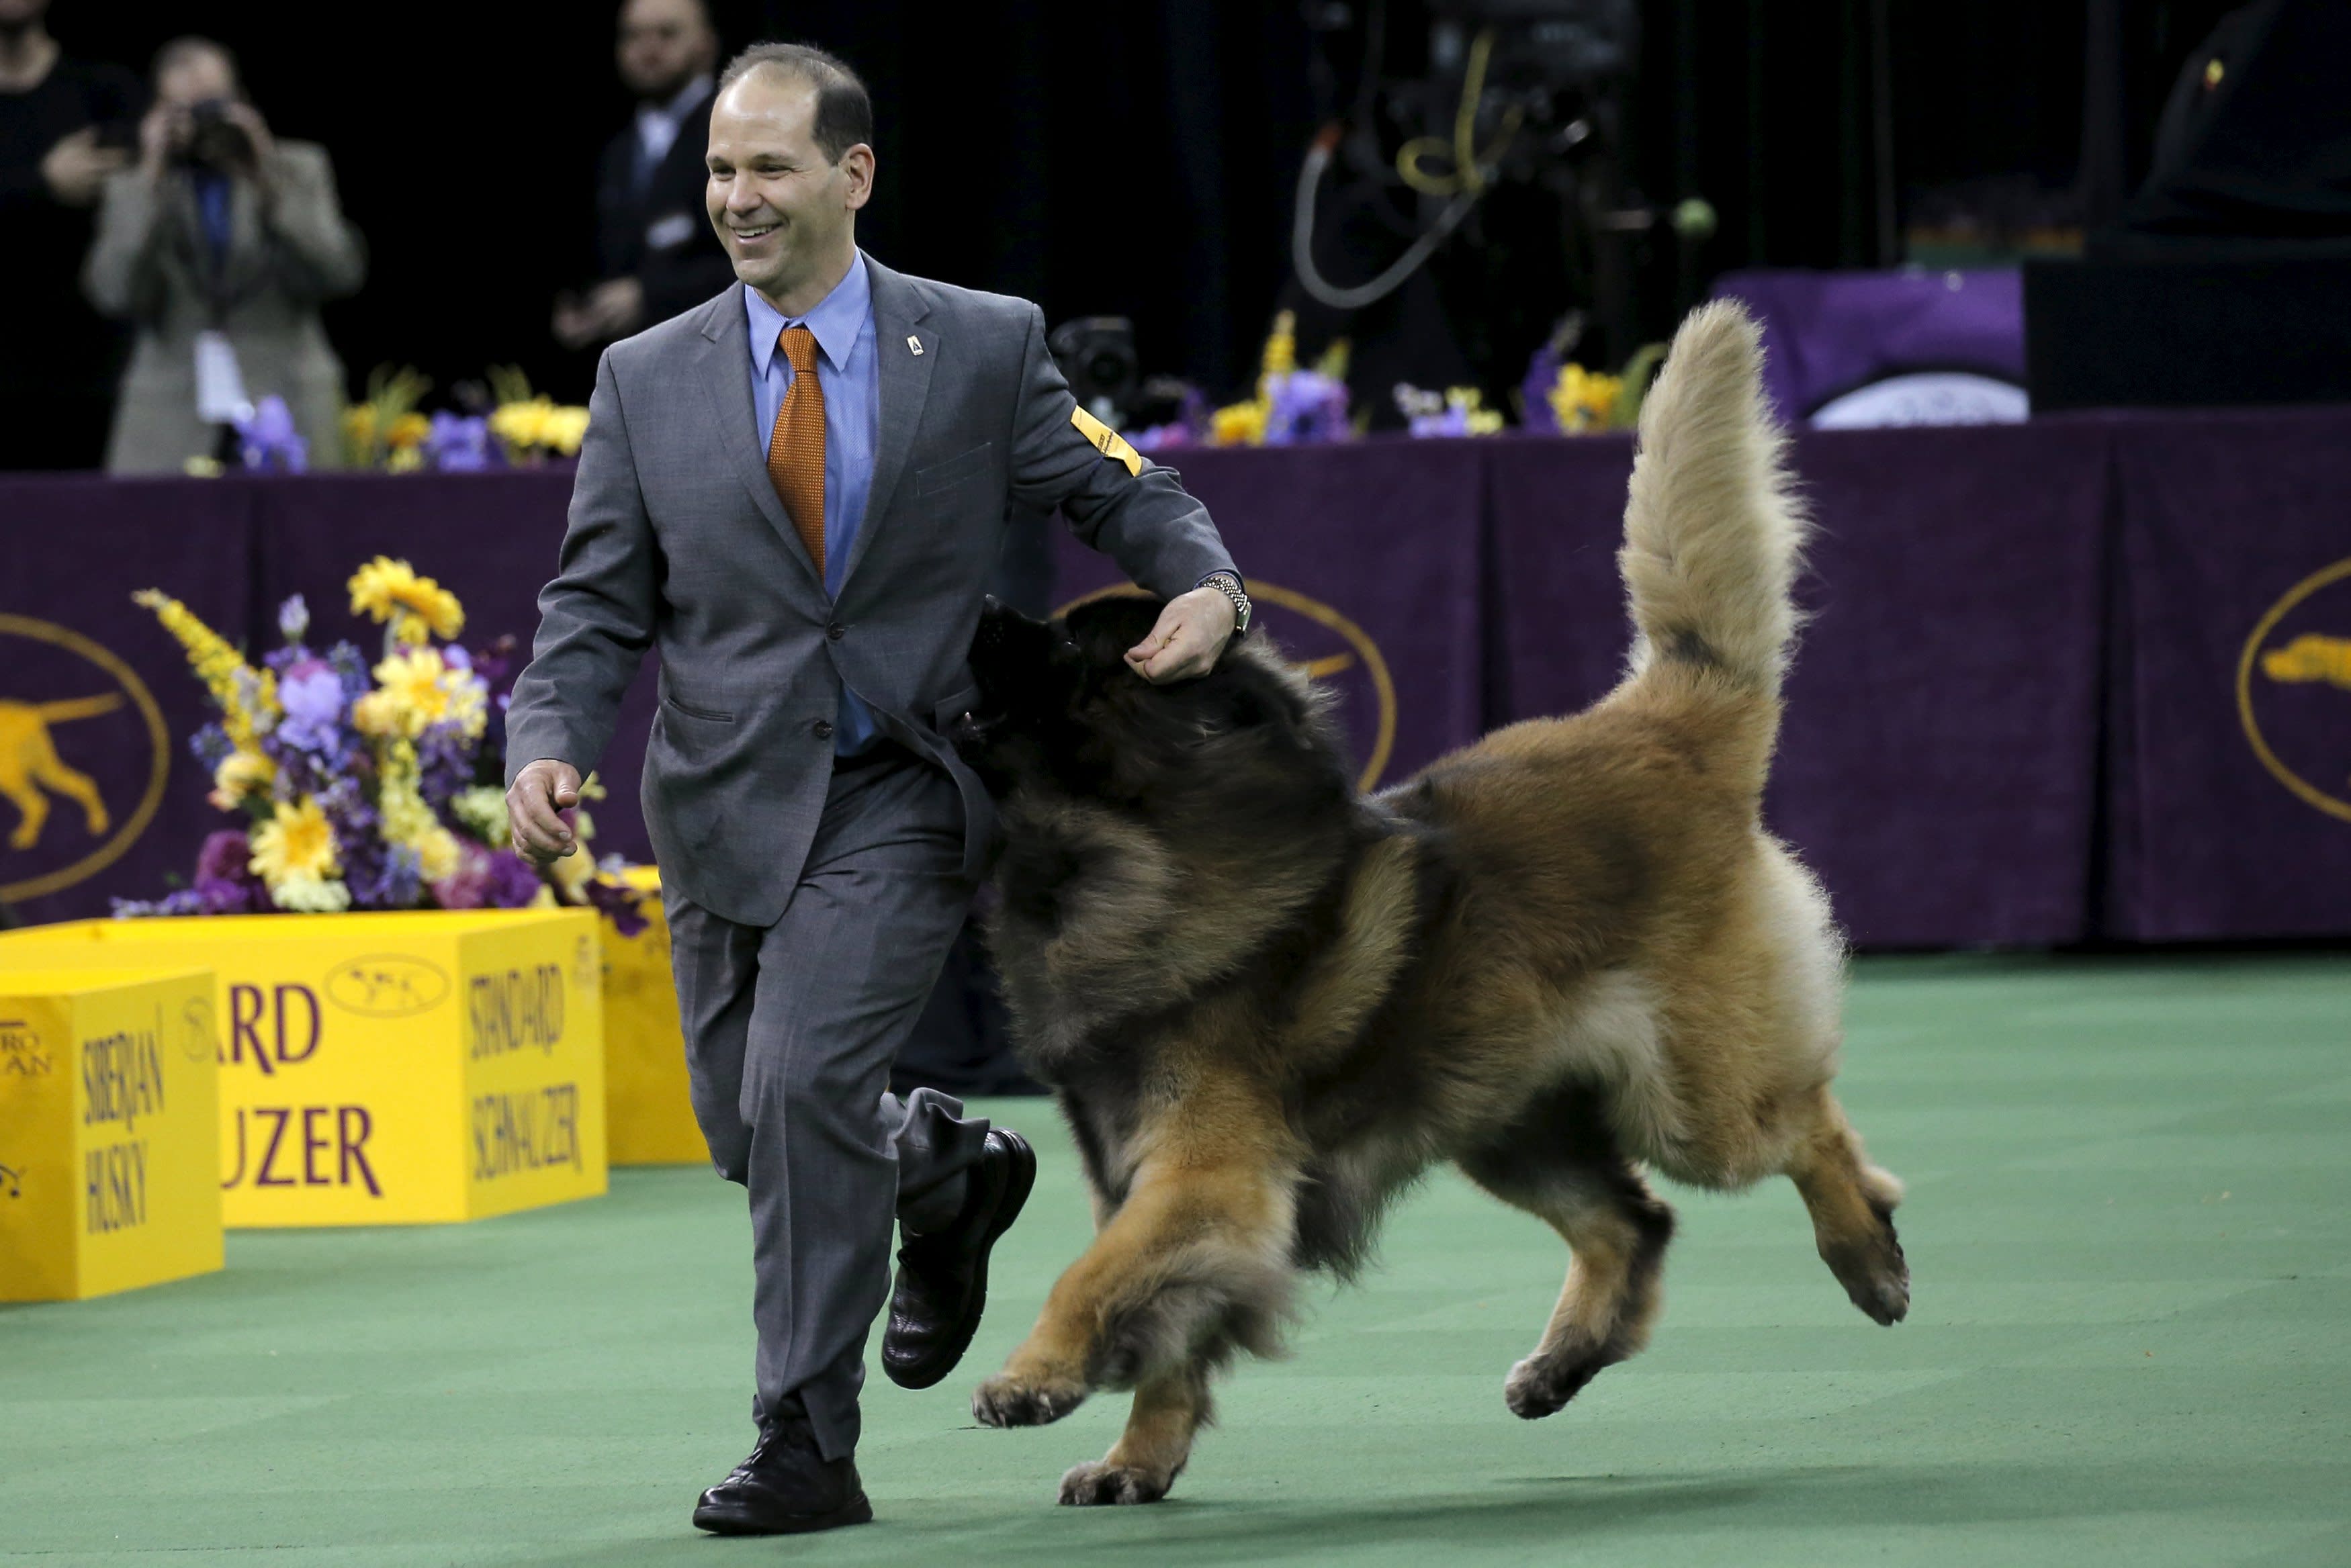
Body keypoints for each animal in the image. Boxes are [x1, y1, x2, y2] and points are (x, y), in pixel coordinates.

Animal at [950, 297, 1909, 1504]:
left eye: (1073, 645)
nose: (982, 604)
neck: (1143, 846)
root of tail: (1665, 723)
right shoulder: (1142, 1166)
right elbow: (1170, 1327)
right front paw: (1137, 1457)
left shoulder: (1204, 1171)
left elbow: (1092, 1276)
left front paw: (1032, 1378)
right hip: (1506, 1113)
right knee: (1633, 1220)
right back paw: (1560, 1362)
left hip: (1693, 1100)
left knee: (1802, 1128)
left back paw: (1868, 1259)